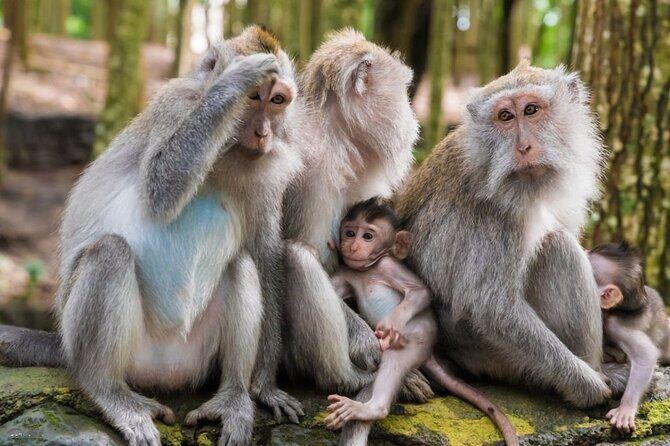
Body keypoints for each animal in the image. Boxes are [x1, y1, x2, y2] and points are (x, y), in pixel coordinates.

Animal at [0, 27, 304, 446]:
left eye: (277, 101)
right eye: (253, 97)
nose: (263, 133)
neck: (226, 151)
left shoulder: (266, 176)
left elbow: (262, 253)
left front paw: (265, 388)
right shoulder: (174, 106)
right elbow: (160, 190)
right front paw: (231, 83)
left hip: (196, 358)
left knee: (241, 264)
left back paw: (233, 396)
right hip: (116, 349)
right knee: (109, 253)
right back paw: (109, 392)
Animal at [281, 29, 432, 420]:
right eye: (403, 91)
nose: (412, 120)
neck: (338, 136)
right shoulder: (311, 173)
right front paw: (367, 343)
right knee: (297, 257)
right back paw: (349, 380)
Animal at [322, 197, 519, 446]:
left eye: (367, 236)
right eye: (349, 232)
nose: (353, 246)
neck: (368, 268)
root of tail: (429, 353)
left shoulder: (388, 266)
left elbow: (421, 292)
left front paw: (391, 324)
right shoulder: (347, 270)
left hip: (416, 340)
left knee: (394, 361)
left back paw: (372, 408)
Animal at [394, 61, 615, 409]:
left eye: (531, 110)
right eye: (506, 117)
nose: (523, 147)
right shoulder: (495, 214)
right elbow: (494, 309)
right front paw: (586, 385)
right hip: (493, 356)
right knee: (558, 247)